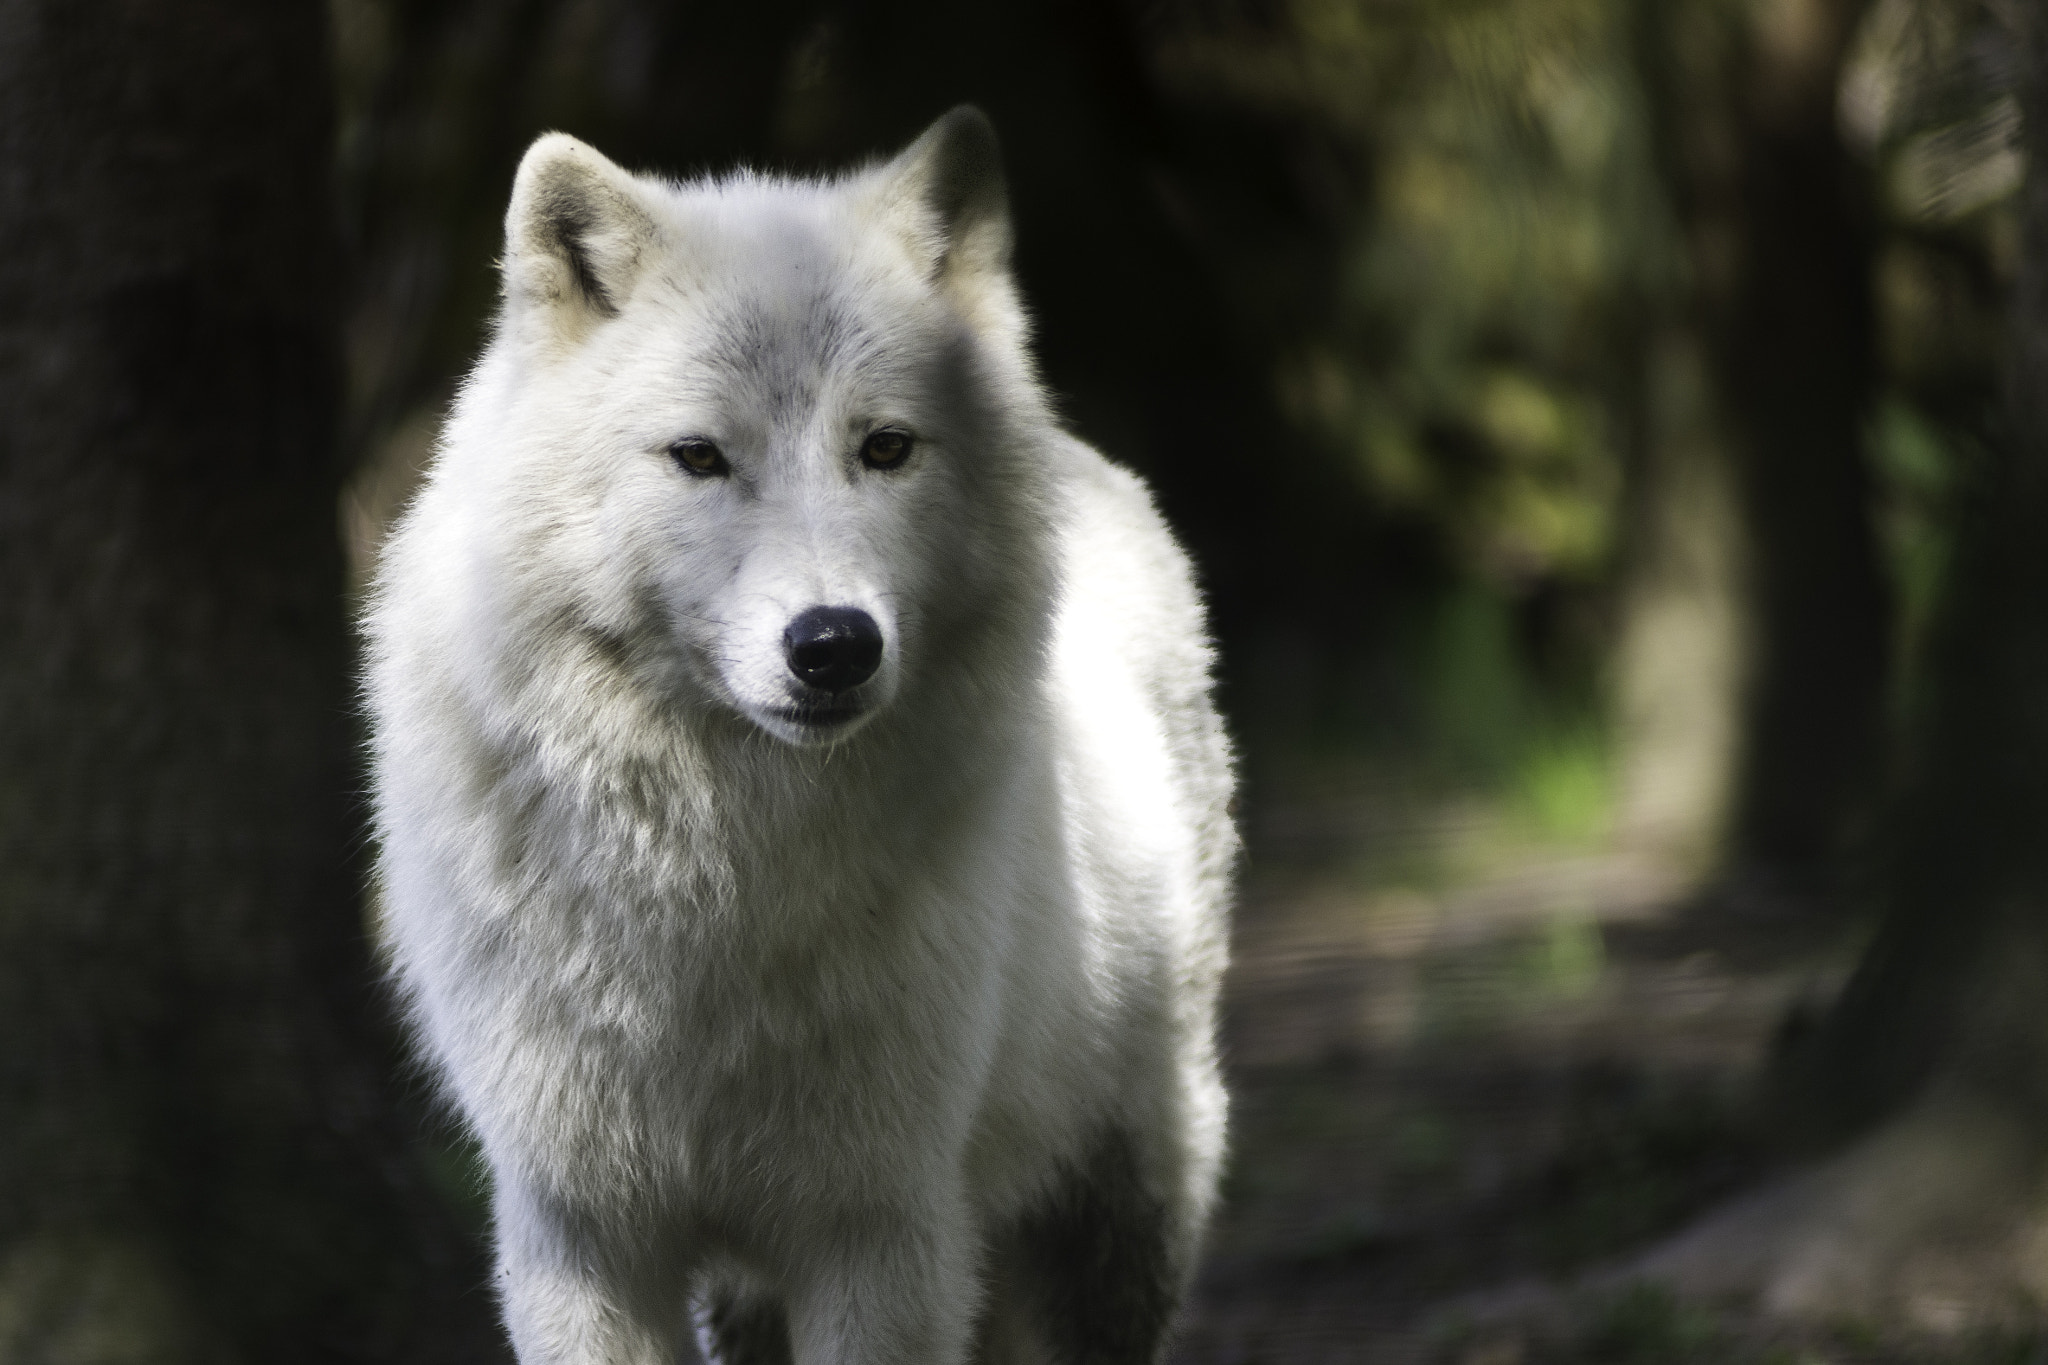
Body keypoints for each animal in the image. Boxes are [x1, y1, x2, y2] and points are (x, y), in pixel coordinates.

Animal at [364, 109, 1228, 1365]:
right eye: (698, 456)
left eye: (884, 448)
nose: (833, 645)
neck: (716, 891)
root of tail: (1090, 459)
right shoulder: (580, 1240)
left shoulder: (879, 1231)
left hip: (1120, 1195)